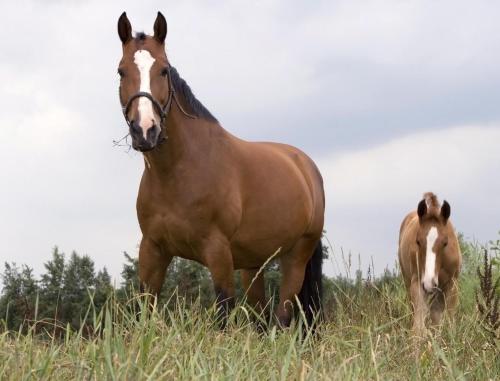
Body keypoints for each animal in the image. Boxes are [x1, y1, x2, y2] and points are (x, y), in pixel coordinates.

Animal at [115, 11, 324, 326]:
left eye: (164, 70)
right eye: (121, 71)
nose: (145, 130)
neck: (178, 172)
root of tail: (306, 166)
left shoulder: (218, 253)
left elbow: (224, 315)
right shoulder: (152, 250)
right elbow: (144, 311)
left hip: (296, 256)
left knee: (282, 318)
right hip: (253, 265)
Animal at [396, 193, 462, 336]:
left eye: (445, 242)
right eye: (418, 241)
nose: (429, 283)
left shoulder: (452, 284)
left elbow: (448, 319)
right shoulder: (417, 282)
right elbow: (418, 326)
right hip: (409, 282)